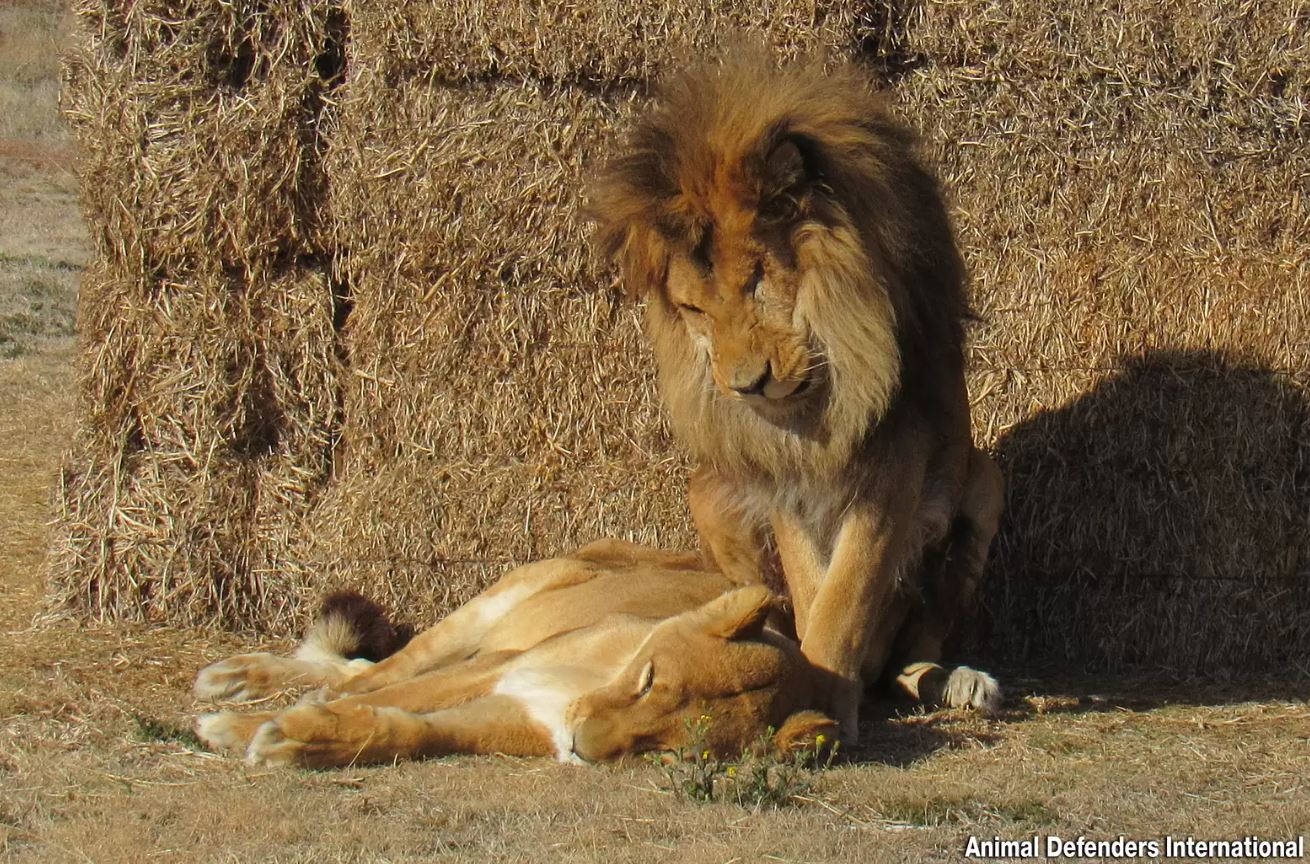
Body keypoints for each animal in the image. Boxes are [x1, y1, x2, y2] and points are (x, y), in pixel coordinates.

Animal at [189, 539, 979, 764]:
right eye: (651, 678)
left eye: (670, 750)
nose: (581, 745)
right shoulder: (502, 668)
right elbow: (383, 697)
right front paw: (247, 728)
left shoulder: (517, 713)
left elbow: (403, 729)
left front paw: (299, 740)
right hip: (494, 610)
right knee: (373, 668)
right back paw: (231, 681)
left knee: (356, 669)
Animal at [589, 52, 1006, 738]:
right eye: (693, 309)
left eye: (758, 279)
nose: (745, 385)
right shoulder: (783, 473)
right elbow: (813, 592)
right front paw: (807, 682)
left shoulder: (897, 462)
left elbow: (848, 596)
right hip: (707, 494)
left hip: (983, 487)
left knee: (910, 653)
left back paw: (955, 680)